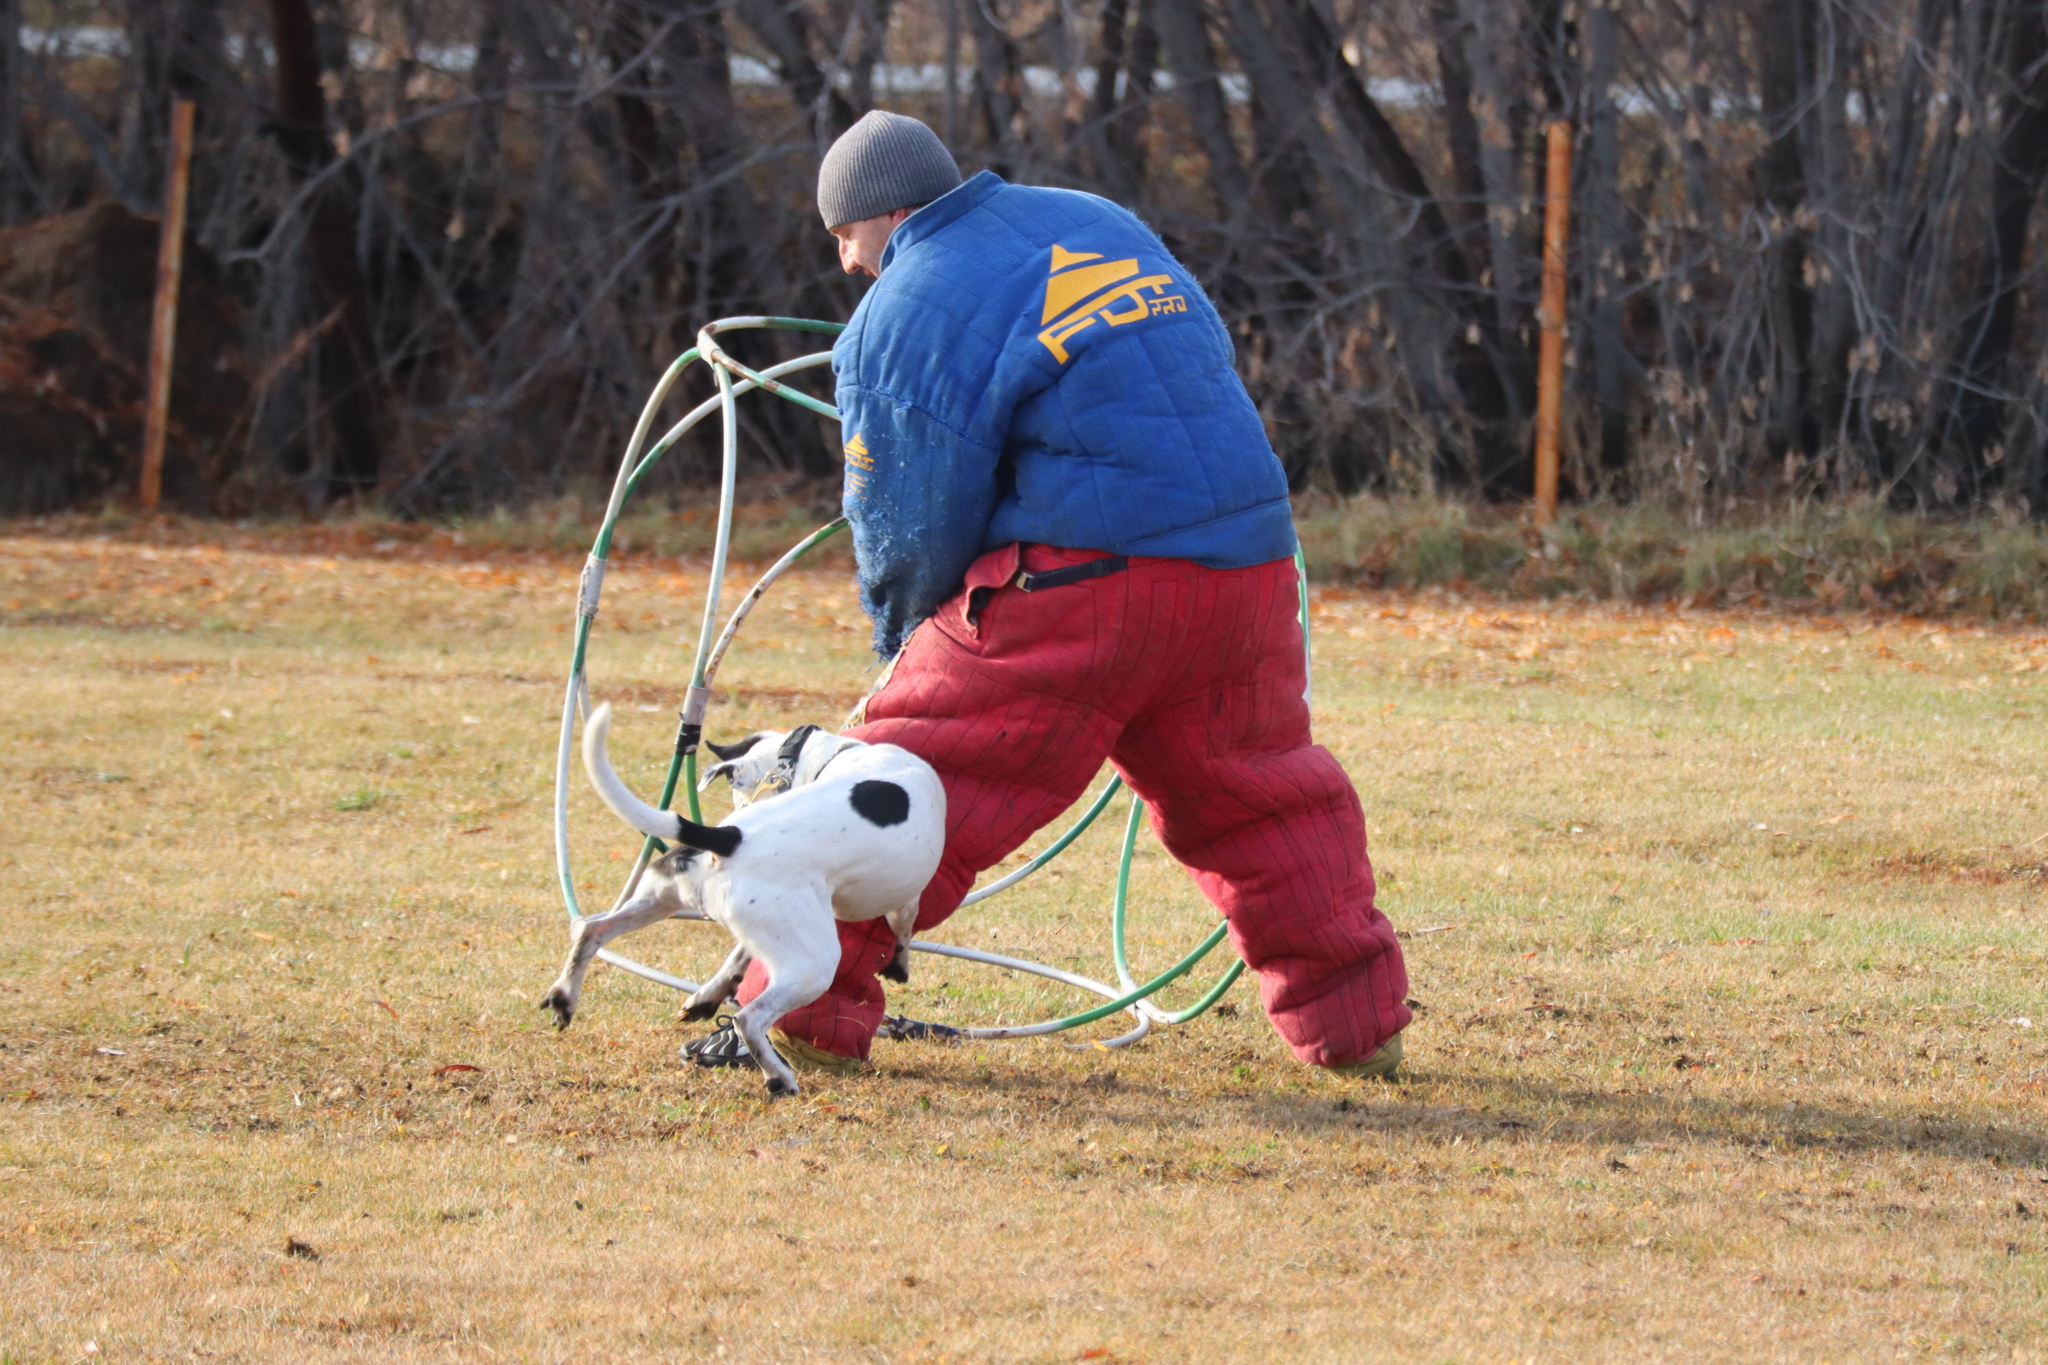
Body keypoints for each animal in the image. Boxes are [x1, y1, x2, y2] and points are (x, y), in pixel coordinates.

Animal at [532, 703, 937, 1096]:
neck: (829, 756)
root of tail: (729, 835)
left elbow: (736, 960)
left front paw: (706, 998)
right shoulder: (903, 900)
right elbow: (905, 924)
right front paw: (899, 964)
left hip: (662, 902)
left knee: (590, 932)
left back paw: (564, 999)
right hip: (814, 964)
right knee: (750, 1019)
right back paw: (779, 1079)